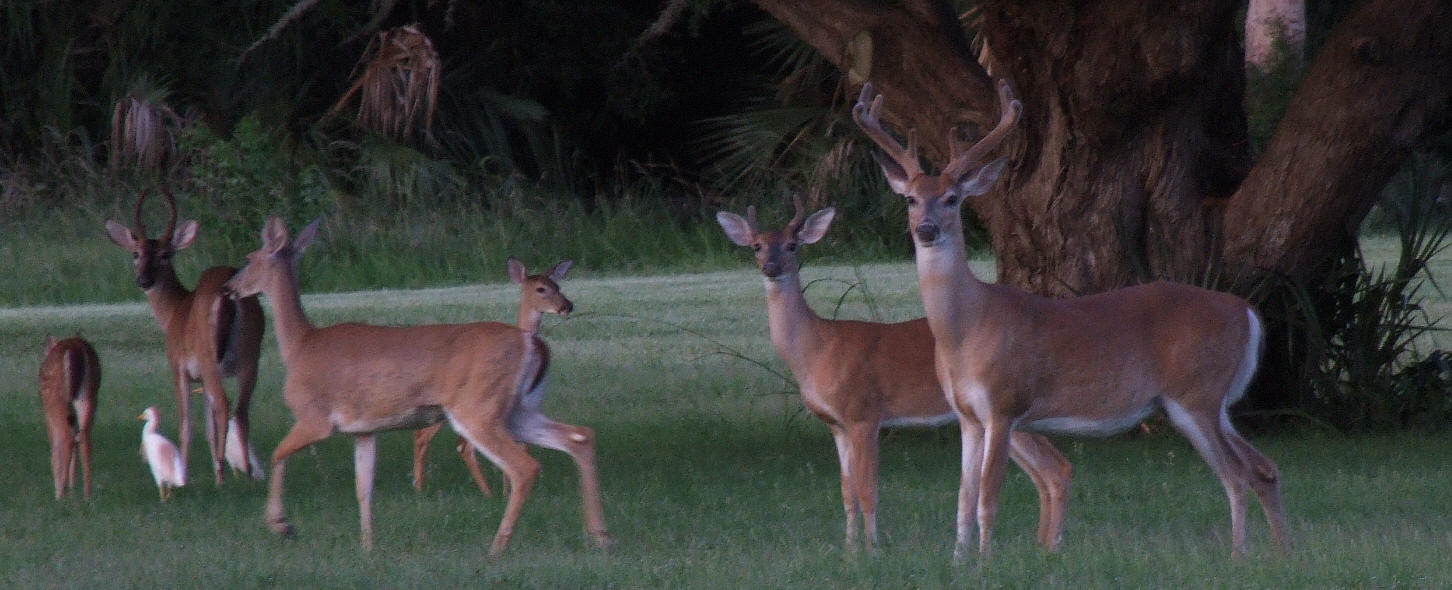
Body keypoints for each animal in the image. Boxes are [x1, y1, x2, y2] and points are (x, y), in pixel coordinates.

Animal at [38, 335, 101, 500]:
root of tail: (75, 349)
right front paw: (72, 490)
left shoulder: (48, 417)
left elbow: (55, 448)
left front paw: (61, 489)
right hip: (89, 395)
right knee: (83, 437)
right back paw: (87, 495)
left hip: (55, 398)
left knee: (66, 437)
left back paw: (61, 495)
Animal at [104, 187, 265, 485]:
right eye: (135, 253)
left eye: (166, 254)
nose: (143, 281)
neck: (173, 313)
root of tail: (227, 295)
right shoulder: (201, 376)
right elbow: (208, 428)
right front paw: (215, 472)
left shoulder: (179, 368)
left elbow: (186, 425)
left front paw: (187, 475)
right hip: (252, 355)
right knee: (242, 411)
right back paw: (247, 473)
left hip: (208, 354)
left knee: (225, 404)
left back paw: (226, 474)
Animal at [411, 257, 575, 496]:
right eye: (541, 289)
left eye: (558, 286)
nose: (567, 306)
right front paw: (506, 491)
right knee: (439, 441)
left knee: (425, 436)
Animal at [716, 197, 1072, 552]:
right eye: (757, 245)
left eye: (792, 245)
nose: (771, 267)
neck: (817, 350)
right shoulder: (836, 425)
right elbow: (846, 494)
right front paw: (849, 551)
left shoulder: (863, 413)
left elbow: (868, 490)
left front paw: (872, 550)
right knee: (1050, 470)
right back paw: (1044, 547)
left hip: (1002, 405)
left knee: (1056, 467)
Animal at [853, 80, 1291, 559]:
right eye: (911, 199)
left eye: (952, 199)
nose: (926, 229)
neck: (966, 331)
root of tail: (1245, 310)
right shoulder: (967, 416)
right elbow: (963, 501)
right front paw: (958, 562)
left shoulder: (1005, 403)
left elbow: (987, 497)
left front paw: (985, 562)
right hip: (1213, 402)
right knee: (1264, 467)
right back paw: (1282, 548)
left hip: (1196, 393)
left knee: (1236, 475)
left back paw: (1239, 554)